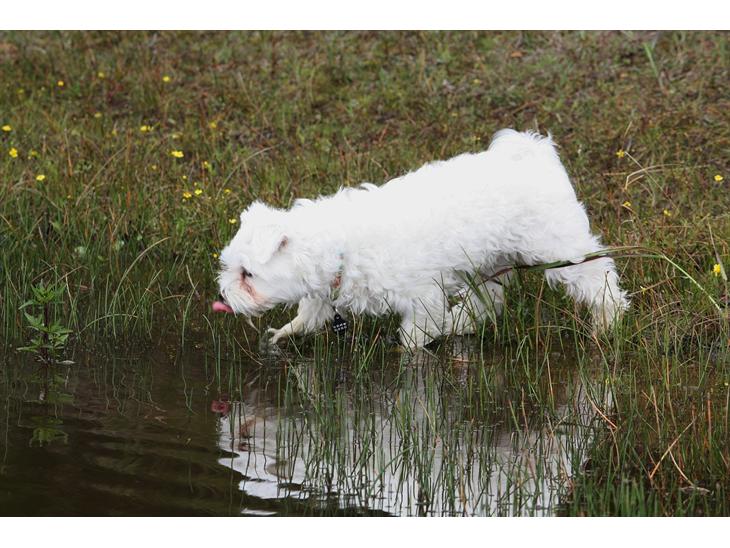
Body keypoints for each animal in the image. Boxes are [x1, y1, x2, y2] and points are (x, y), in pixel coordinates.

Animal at [212, 129, 629, 350]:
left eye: (247, 275)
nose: (223, 298)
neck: (339, 248)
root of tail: (533, 152)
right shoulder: (320, 294)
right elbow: (306, 317)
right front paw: (283, 334)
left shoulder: (422, 295)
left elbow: (415, 335)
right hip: (491, 261)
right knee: (488, 301)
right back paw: (459, 322)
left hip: (559, 248)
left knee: (600, 279)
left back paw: (606, 324)